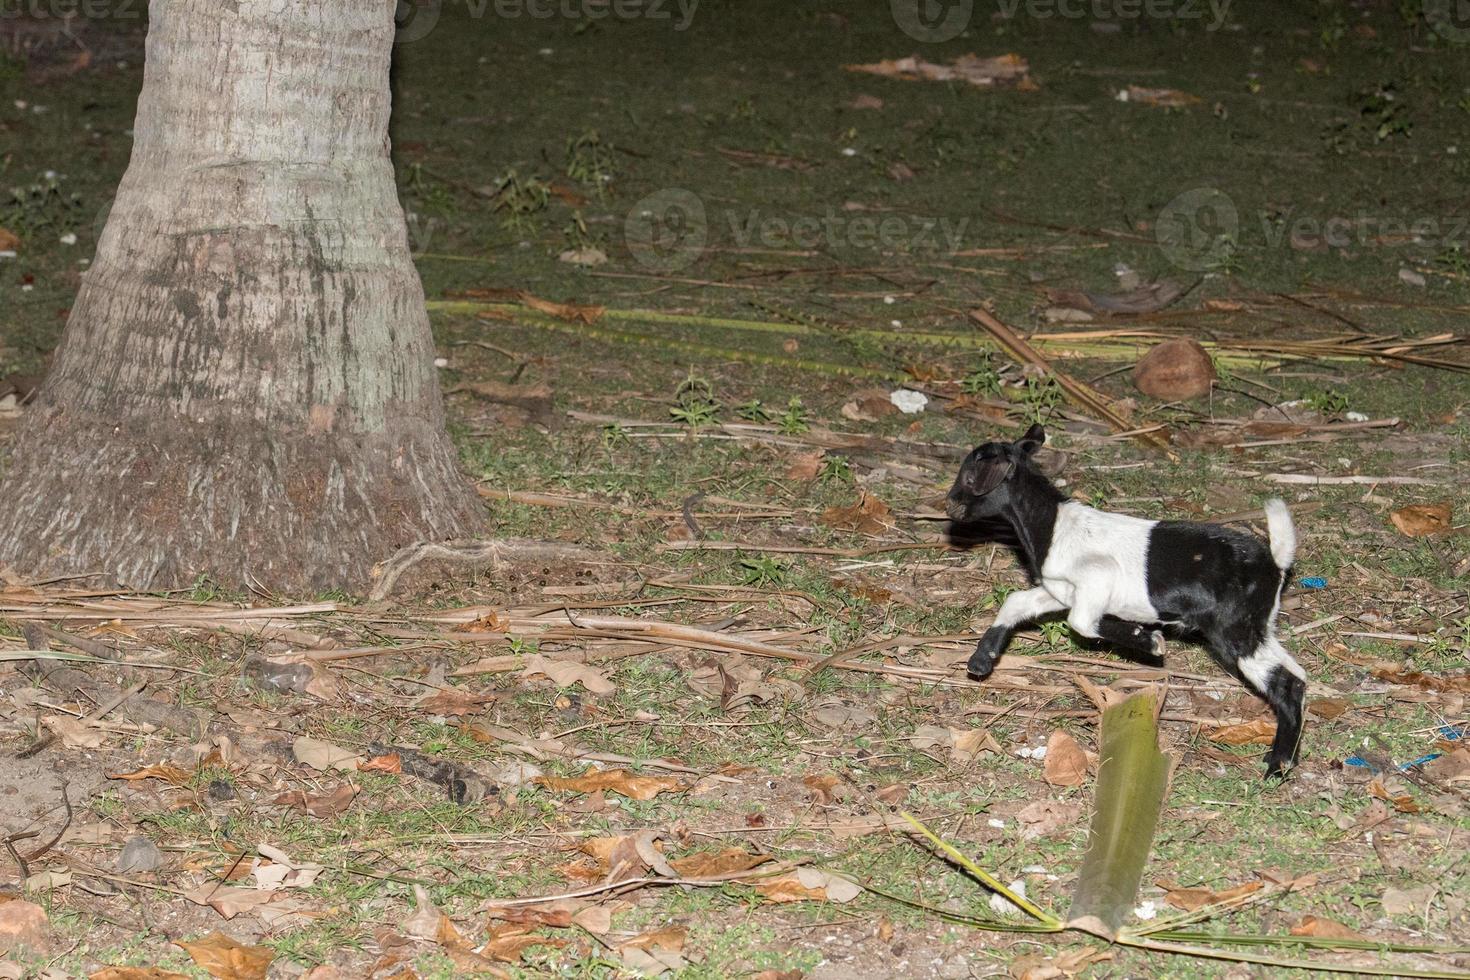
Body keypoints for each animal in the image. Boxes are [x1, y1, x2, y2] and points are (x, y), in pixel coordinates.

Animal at [952, 426, 1311, 775]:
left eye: (969, 478)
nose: (949, 504)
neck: (1052, 523)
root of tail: (1276, 563)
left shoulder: (1096, 576)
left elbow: (1081, 622)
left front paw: (1147, 640)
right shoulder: (1059, 590)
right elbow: (1016, 603)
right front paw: (982, 660)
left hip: (1233, 631)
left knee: (1285, 682)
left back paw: (1278, 764)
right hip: (1257, 627)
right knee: (1298, 674)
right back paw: (1285, 756)